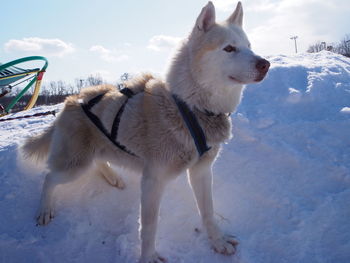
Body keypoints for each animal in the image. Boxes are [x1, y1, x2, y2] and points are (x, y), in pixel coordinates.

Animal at [20, 1, 270, 262]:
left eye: (249, 46)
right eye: (229, 48)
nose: (265, 64)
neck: (190, 108)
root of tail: (71, 100)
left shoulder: (201, 172)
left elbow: (208, 212)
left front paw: (217, 241)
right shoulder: (152, 181)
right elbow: (149, 227)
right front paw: (148, 257)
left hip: (92, 154)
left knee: (97, 161)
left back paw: (113, 177)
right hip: (75, 165)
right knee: (50, 177)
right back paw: (44, 209)